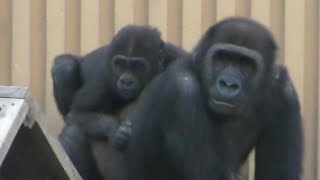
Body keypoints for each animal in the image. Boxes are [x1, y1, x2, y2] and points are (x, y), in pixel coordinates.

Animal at [52, 25, 188, 180]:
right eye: (120, 64)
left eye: (138, 66)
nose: (126, 81)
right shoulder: (104, 78)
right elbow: (77, 114)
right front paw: (115, 130)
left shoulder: (179, 57)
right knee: (65, 68)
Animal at [125, 17, 302, 180]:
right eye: (222, 58)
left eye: (246, 64)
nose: (228, 84)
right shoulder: (183, 89)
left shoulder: (283, 89)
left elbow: (279, 174)